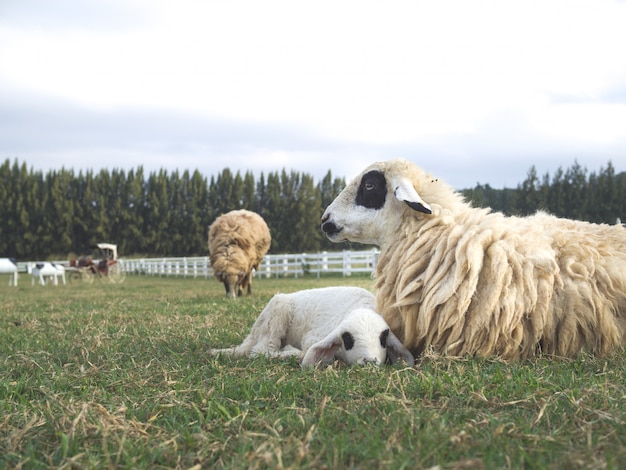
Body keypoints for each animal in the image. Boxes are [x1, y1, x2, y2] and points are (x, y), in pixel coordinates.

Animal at [210, 286, 414, 368]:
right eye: (347, 338)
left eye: (383, 338)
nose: (370, 361)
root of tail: (252, 333)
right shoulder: (312, 338)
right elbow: (305, 353)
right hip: (277, 312)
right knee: (260, 351)